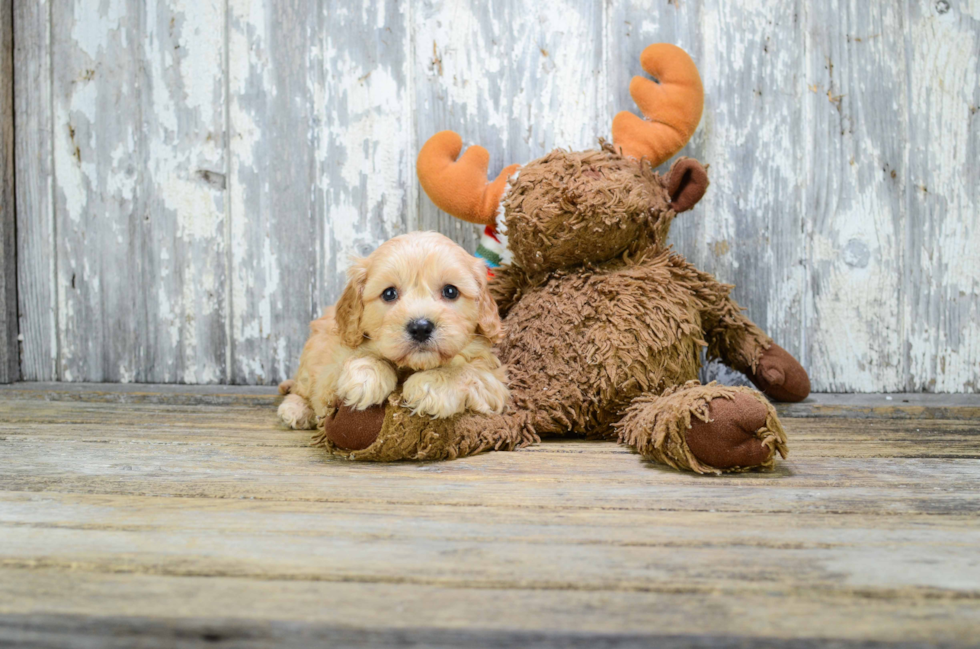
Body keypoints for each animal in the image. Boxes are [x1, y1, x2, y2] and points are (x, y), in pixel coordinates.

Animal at [276, 230, 506, 428]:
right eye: (389, 294)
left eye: (450, 291)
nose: (420, 328)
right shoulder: (329, 372)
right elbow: (357, 358)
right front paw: (367, 377)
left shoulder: (493, 381)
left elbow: (467, 371)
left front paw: (430, 384)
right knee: (301, 388)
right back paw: (296, 408)